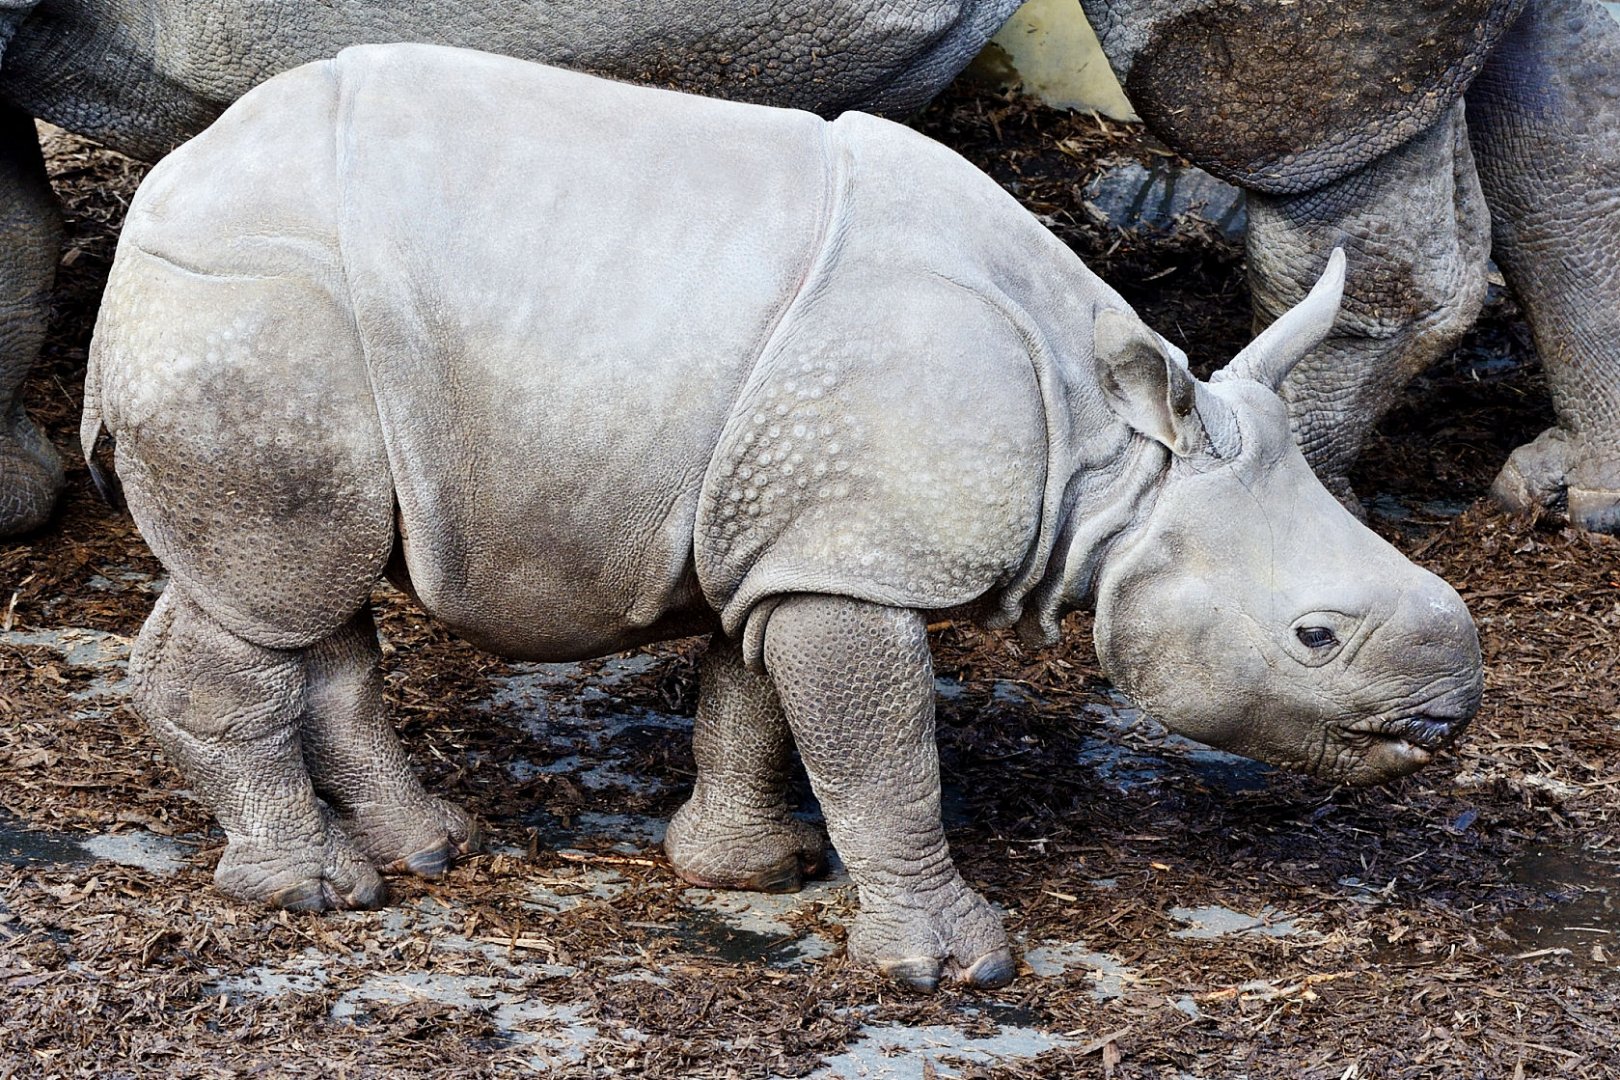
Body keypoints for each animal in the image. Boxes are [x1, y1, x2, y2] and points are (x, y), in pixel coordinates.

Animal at [83, 45, 1482, 990]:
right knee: (273, 592)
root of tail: (150, 212)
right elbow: (883, 757)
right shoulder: (851, 561)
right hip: (249, 312)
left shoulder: (791, 540)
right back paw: (315, 894)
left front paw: (744, 873)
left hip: (287, 344)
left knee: (312, 589)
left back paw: (430, 850)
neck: (1111, 463)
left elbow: (750, 707)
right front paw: (951, 968)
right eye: (1315, 637)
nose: (1450, 716)